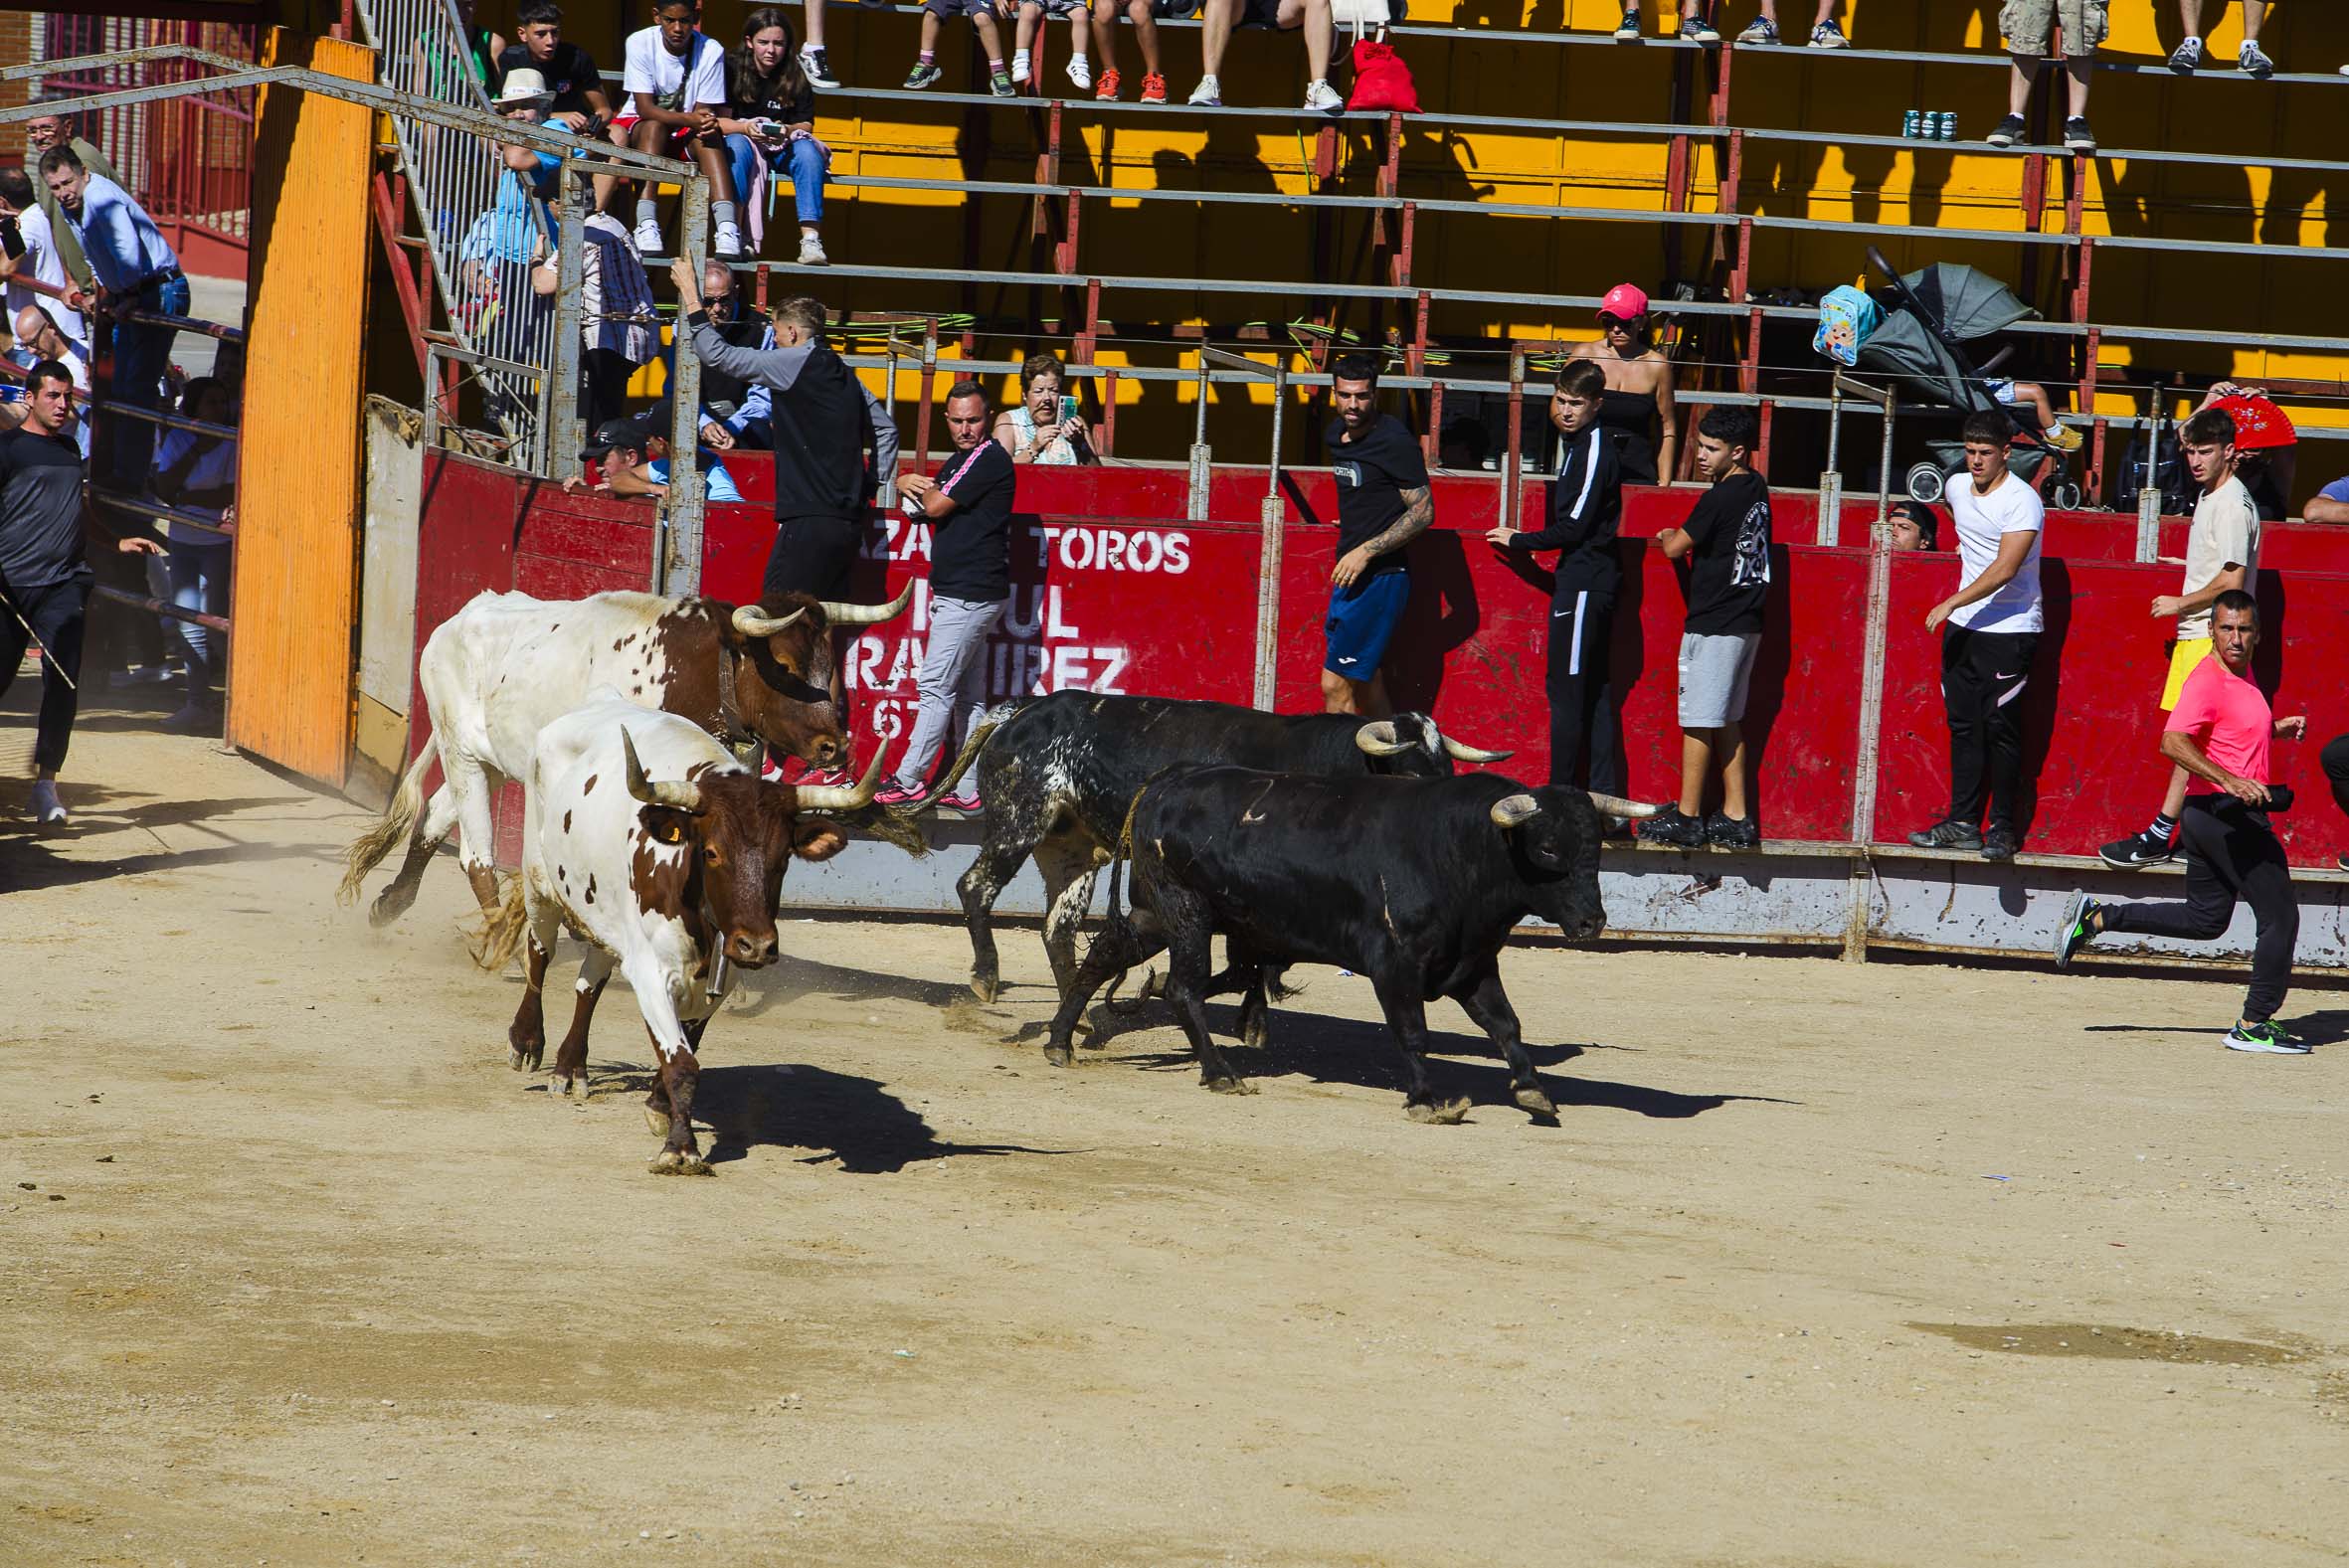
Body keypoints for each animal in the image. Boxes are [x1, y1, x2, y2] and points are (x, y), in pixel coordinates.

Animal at [340, 587, 906, 929]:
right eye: (785, 664)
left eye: (830, 664)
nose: (835, 746)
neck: (695, 670)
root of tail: (460, 617)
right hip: (460, 752)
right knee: (476, 855)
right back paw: (497, 930)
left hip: (492, 762)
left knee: (436, 817)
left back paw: (390, 904)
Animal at [481, 694, 883, 1173]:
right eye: (711, 852)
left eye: (783, 856)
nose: (758, 946)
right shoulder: (652, 973)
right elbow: (682, 1063)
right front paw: (680, 1148)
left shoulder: (717, 981)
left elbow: (688, 1048)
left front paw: (659, 1106)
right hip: (540, 880)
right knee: (539, 954)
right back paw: (527, 1042)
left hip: (604, 913)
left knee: (589, 984)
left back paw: (570, 1067)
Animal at [925, 694, 1513, 1004]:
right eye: (1410, 771)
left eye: (1446, 770)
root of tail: (1019, 711)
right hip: (1018, 823)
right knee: (975, 887)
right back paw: (986, 978)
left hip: (1069, 844)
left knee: (1058, 927)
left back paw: (1080, 1002)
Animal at [1047, 765, 1653, 1122]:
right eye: (1548, 849)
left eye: (1596, 848)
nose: (1592, 923)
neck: (1459, 849)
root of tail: (1159, 785)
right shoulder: (1396, 967)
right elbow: (1413, 1032)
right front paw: (1427, 1100)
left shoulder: (1474, 963)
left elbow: (1506, 1025)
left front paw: (1531, 1089)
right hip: (1187, 912)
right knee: (1181, 989)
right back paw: (1220, 1074)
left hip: (1156, 913)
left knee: (1103, 956)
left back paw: (1060, 1041)